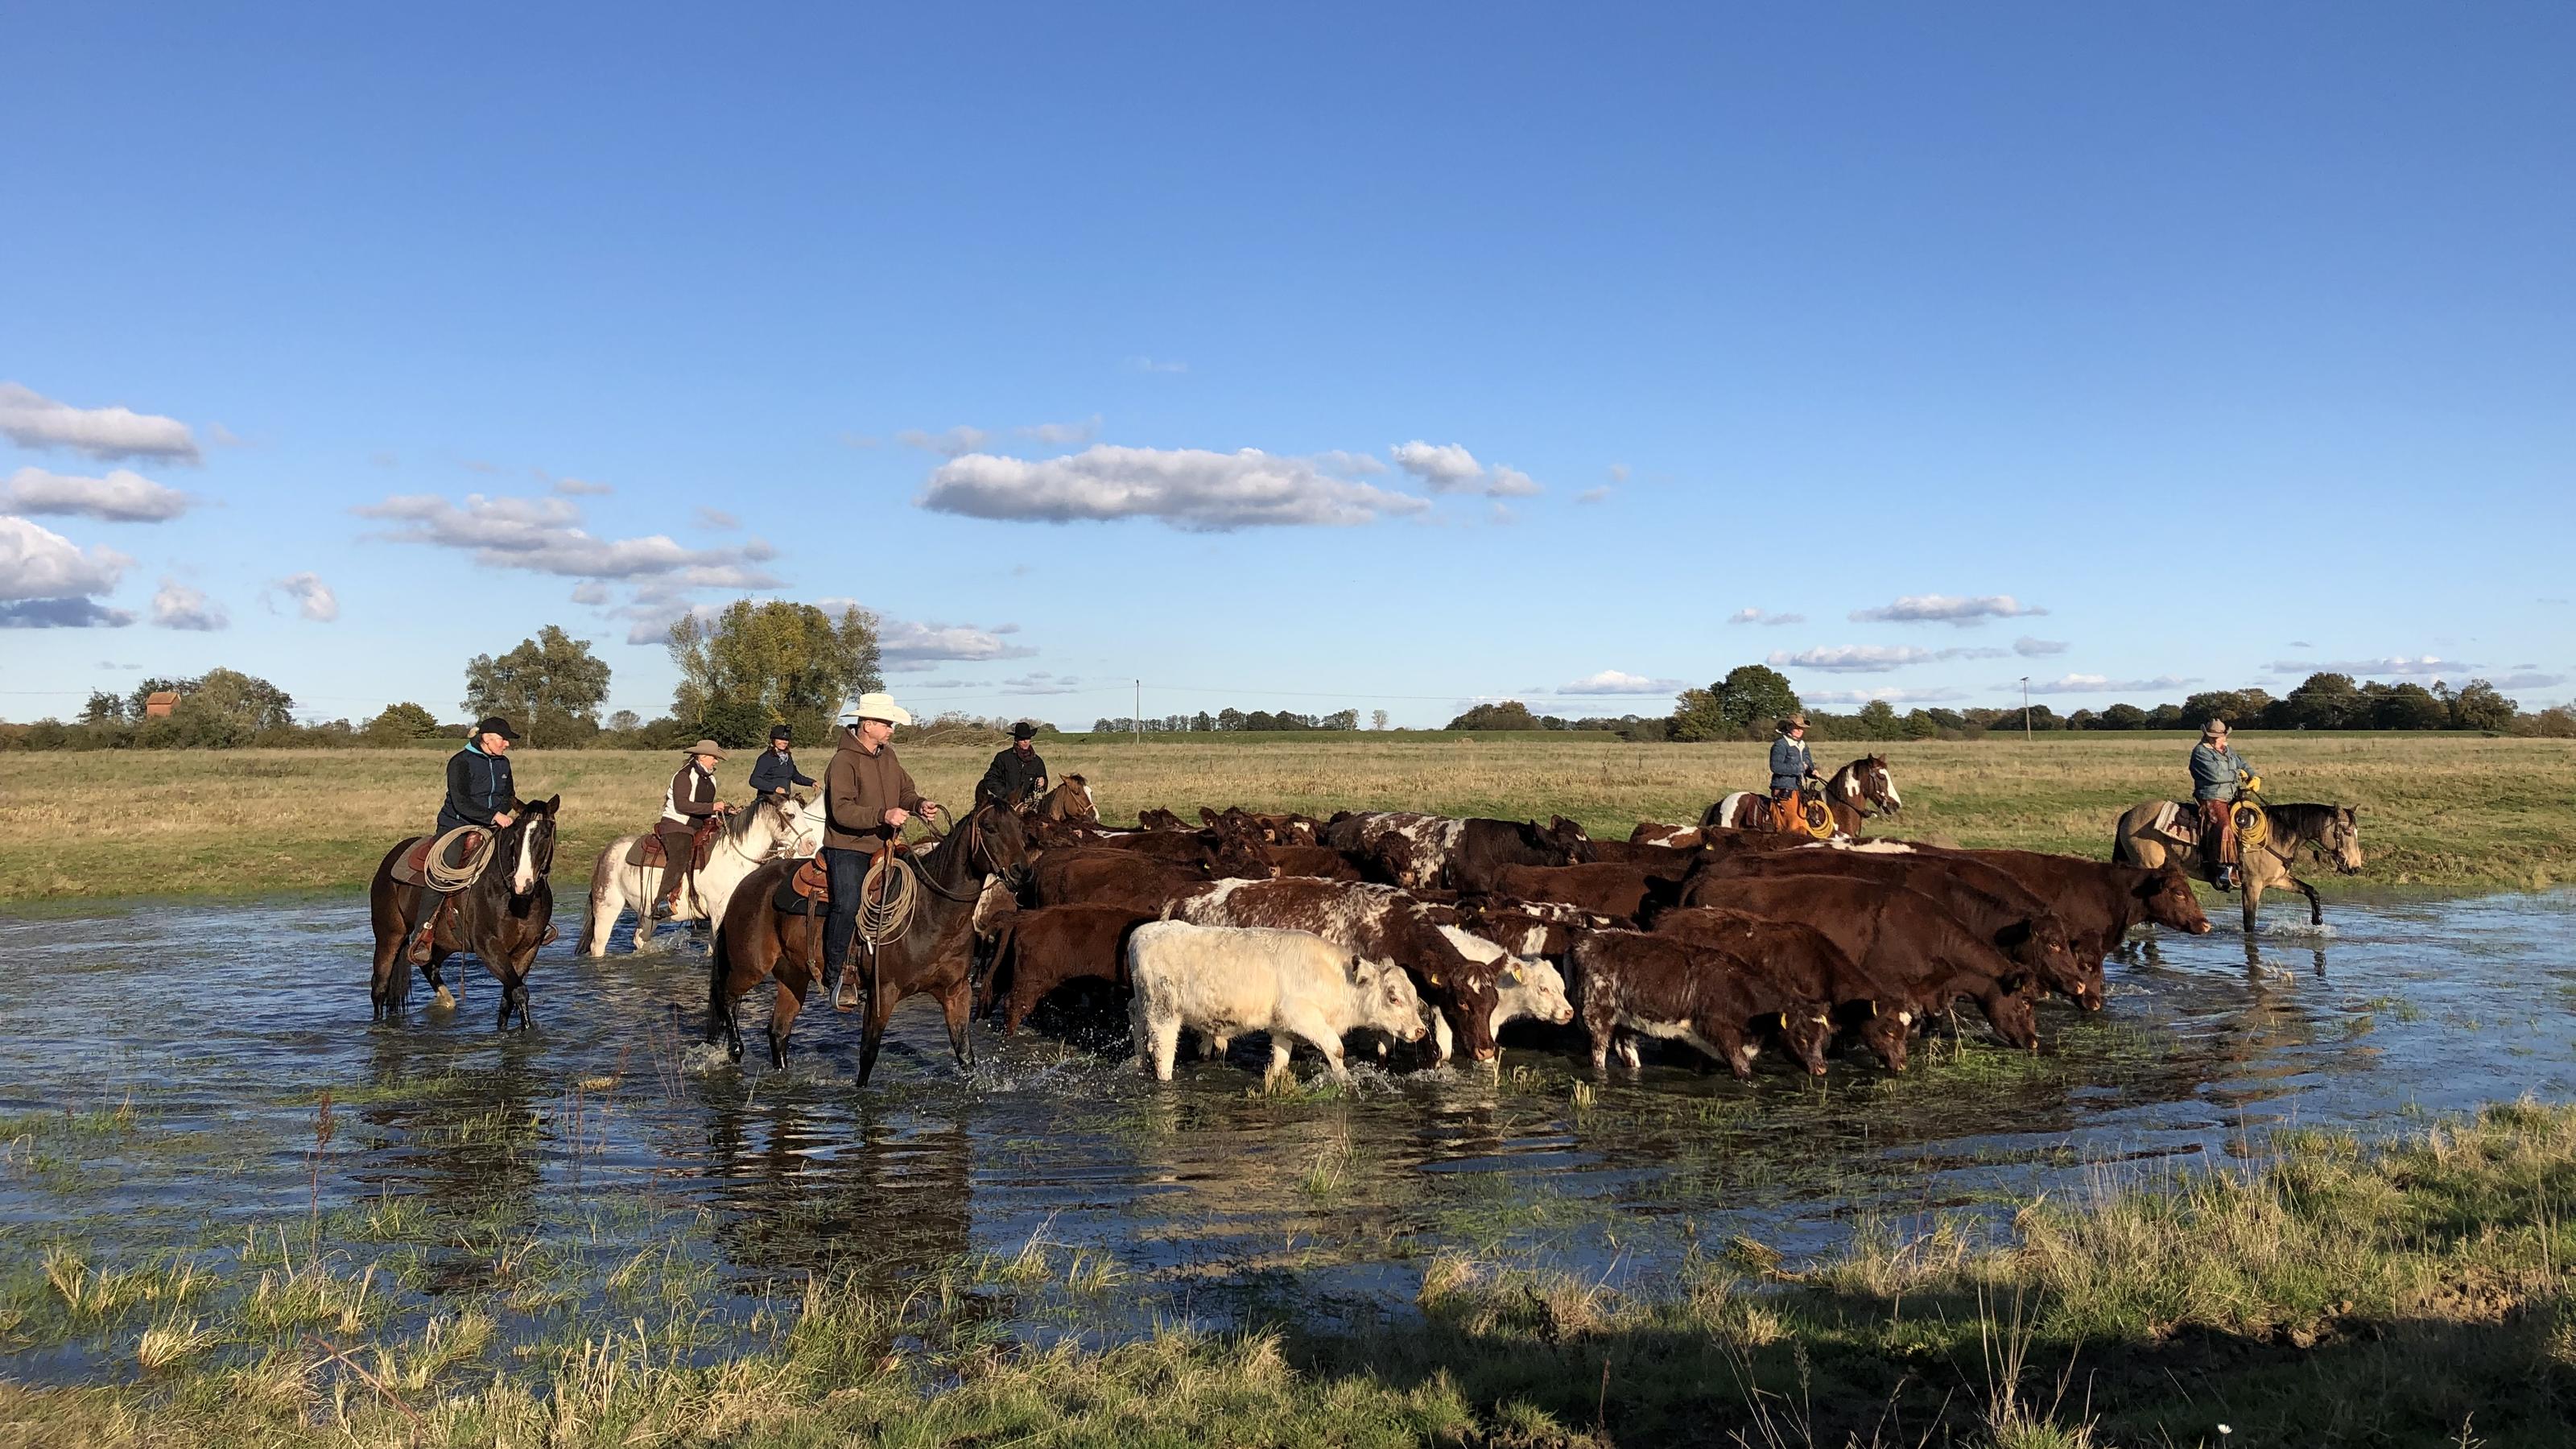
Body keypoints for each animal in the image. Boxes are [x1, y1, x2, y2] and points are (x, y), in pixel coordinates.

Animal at [363, 799, 559, 1026]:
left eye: (545, 835)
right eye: (516, 835)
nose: (522, 883)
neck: (516, 900)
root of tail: (389, 859)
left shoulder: (528, 949)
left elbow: (508, 998)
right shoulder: (488, 947)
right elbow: (519, 992)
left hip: (443, 943)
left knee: (429, 965)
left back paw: (446, 1001)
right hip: (389, 936)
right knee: (379, 989)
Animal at [580, 783, 799, 954]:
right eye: (791, 815)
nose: (807, 845)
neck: (735, 856)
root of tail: (606, 853)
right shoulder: (718, 913)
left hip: (647, 913)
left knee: (640, 939)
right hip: (608, 906)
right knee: (598, 945)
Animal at [705, 794, 1035, 1077]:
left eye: (1021, 827)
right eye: (990, 828)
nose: (1023, 872)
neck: (931, 911)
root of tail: (746, 884)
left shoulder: (956, 992)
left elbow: (965, 1055)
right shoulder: (882, 993)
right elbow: (868, 1055)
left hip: (793, 977)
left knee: (777, 1031)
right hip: (750, 966)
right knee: (727, 996)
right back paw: (735, 1049)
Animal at [1138, 918, 1443, 1077]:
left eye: (1413, 993)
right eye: (1393, 997)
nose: (1419, 1030)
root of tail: (1144, 932)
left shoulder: (1282, 1028)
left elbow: (1280, 1063)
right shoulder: (1301, 1015)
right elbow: (1336, 1049)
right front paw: (1346, 1083)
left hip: (1144, 1011)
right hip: (1164, 1015)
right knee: (1163, 1055)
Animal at [2102, 794, 2359, 928]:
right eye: (2346, 832)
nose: (2355, 868)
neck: (2274, 835)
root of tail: (2130, 814)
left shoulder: (2277, 879)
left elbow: (2311, 891)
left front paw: (2318, 920)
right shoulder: (2252, 885)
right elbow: (2250, 922)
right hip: (2146, 865)